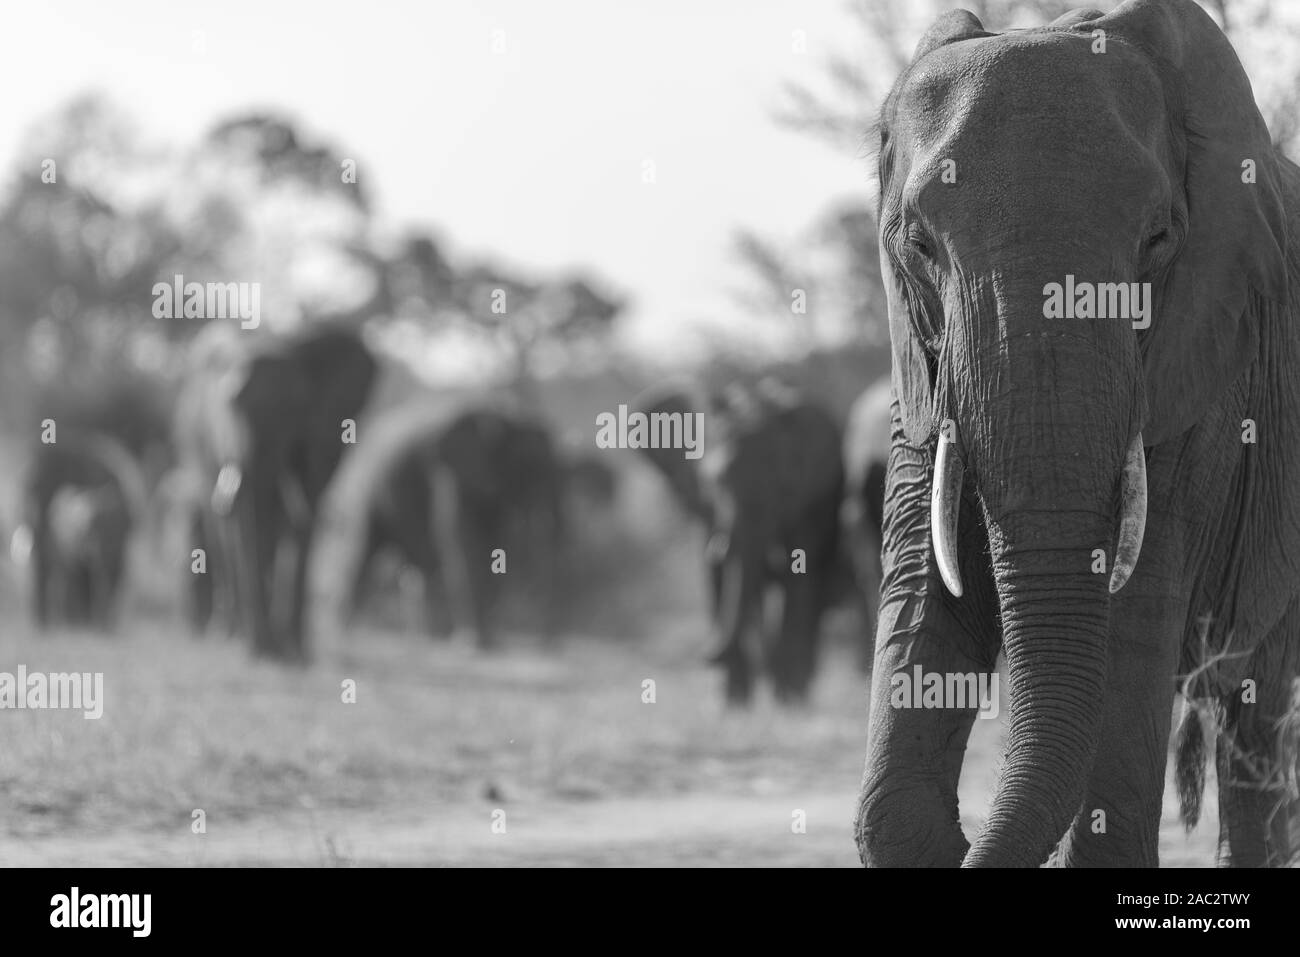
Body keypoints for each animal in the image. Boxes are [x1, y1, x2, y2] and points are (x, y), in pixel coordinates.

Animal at [175, 321, 377, 657]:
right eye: (231, 406)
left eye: (294, 411)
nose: (259, 651)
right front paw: (264, 648)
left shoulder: (327, 432)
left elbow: (306, 511)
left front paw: (297, 652)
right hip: (193, 440)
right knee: (220, 530)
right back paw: (227, 635)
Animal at [345, 400, 564, 647]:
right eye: (528, 467)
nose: (550, 644)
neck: (504, 417)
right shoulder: (449, 472)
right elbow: (463, 542)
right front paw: (472, 643)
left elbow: (497, 546)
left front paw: (489, 640)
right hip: (367, 489)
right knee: (364, 550)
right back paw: (349, 633)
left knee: (416, 566)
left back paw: (422, 637)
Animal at [637, 379, 842, 702]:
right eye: (716, 483)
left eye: (780, 486)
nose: (705, 655)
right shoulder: (708, 508)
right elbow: (719, 574)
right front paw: (736, 702)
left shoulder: (809, 501)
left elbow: (799, 572)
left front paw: (789, 698)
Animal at [857, 0, 1300, 868]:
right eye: (917, 246)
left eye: (1159, 240)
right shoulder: (916, 383)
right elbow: (924, 598)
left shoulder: (1199, 372)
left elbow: (1132, 612)